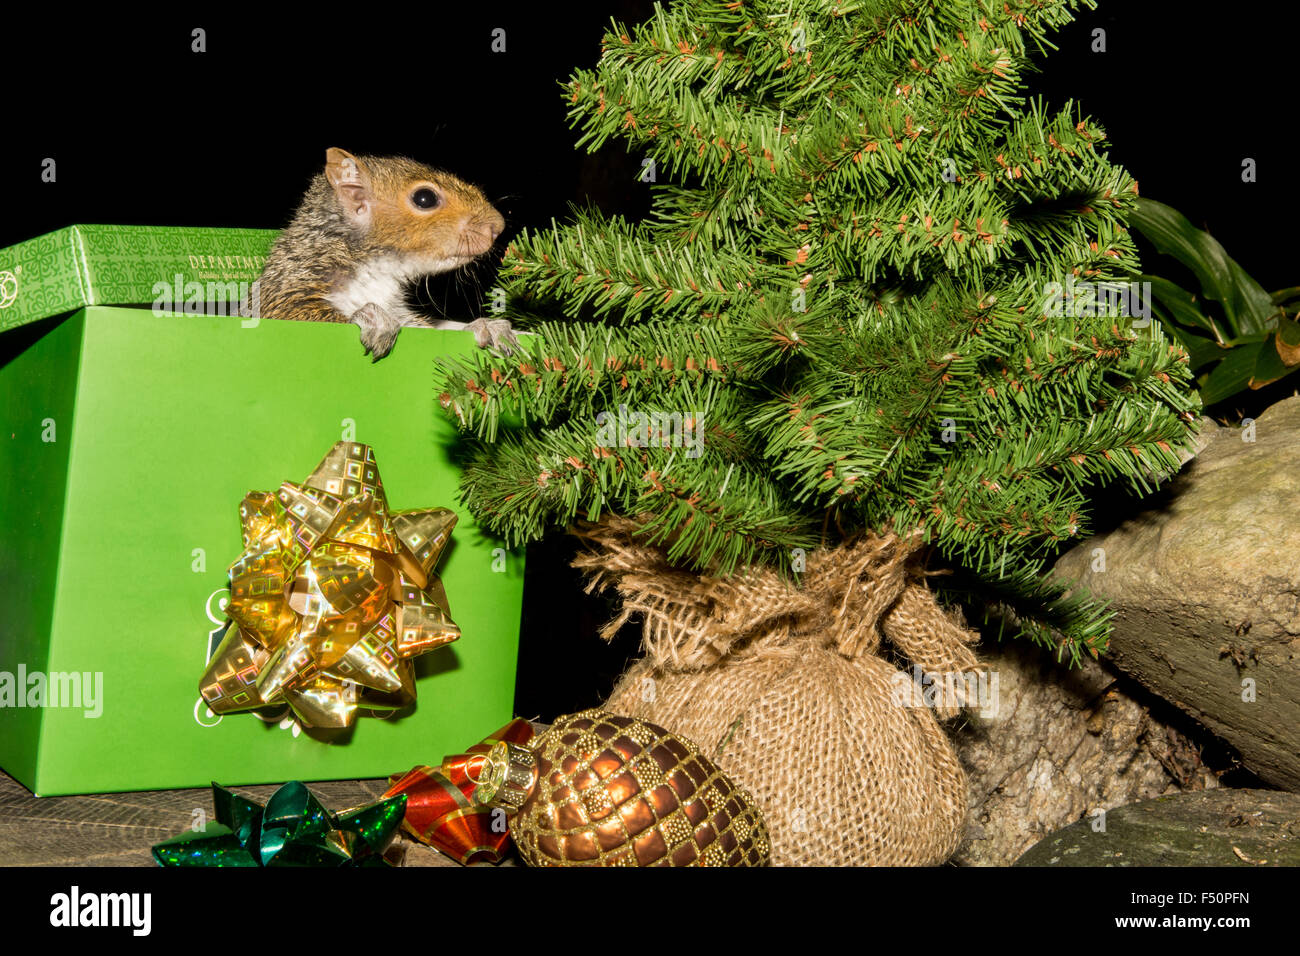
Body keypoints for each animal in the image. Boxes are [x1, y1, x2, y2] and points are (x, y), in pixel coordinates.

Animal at [248, 147, 517, 361]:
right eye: (425, 198)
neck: (377, 269)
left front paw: (486, 326)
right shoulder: (288, 286)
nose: (498, 225)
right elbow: (292, 313)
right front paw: (370, 317)